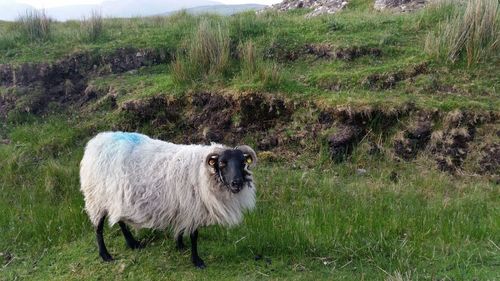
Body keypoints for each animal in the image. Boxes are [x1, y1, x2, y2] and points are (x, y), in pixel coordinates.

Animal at [80, 131, 258, 266]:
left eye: (243, 162)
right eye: (222, 163)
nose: (237, 183)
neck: (202, 172)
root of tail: (96, 141)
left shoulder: (182, 205)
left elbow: (181, 229)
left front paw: (180, 245)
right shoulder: (192, 207)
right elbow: (194, 235)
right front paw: (196, 261)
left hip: (116, 197)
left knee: (120, 220)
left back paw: (133, 243)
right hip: (96, 198)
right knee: (98, 228)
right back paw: (105, 255)